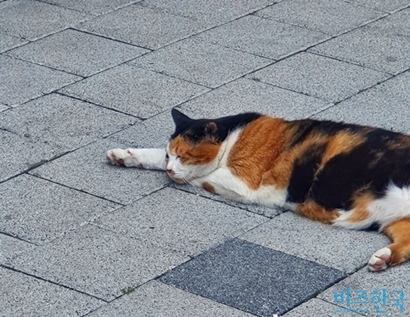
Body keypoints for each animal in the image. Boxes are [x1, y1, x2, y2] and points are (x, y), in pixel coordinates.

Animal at [106, 108, 410, 272]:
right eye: (171, 155)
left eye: (182, 155)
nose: (171, 169)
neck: (232, 137)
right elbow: (154, 156)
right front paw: (123, 156)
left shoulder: (242, 180)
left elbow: (202, 175)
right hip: (393, 222)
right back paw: (382, 259)